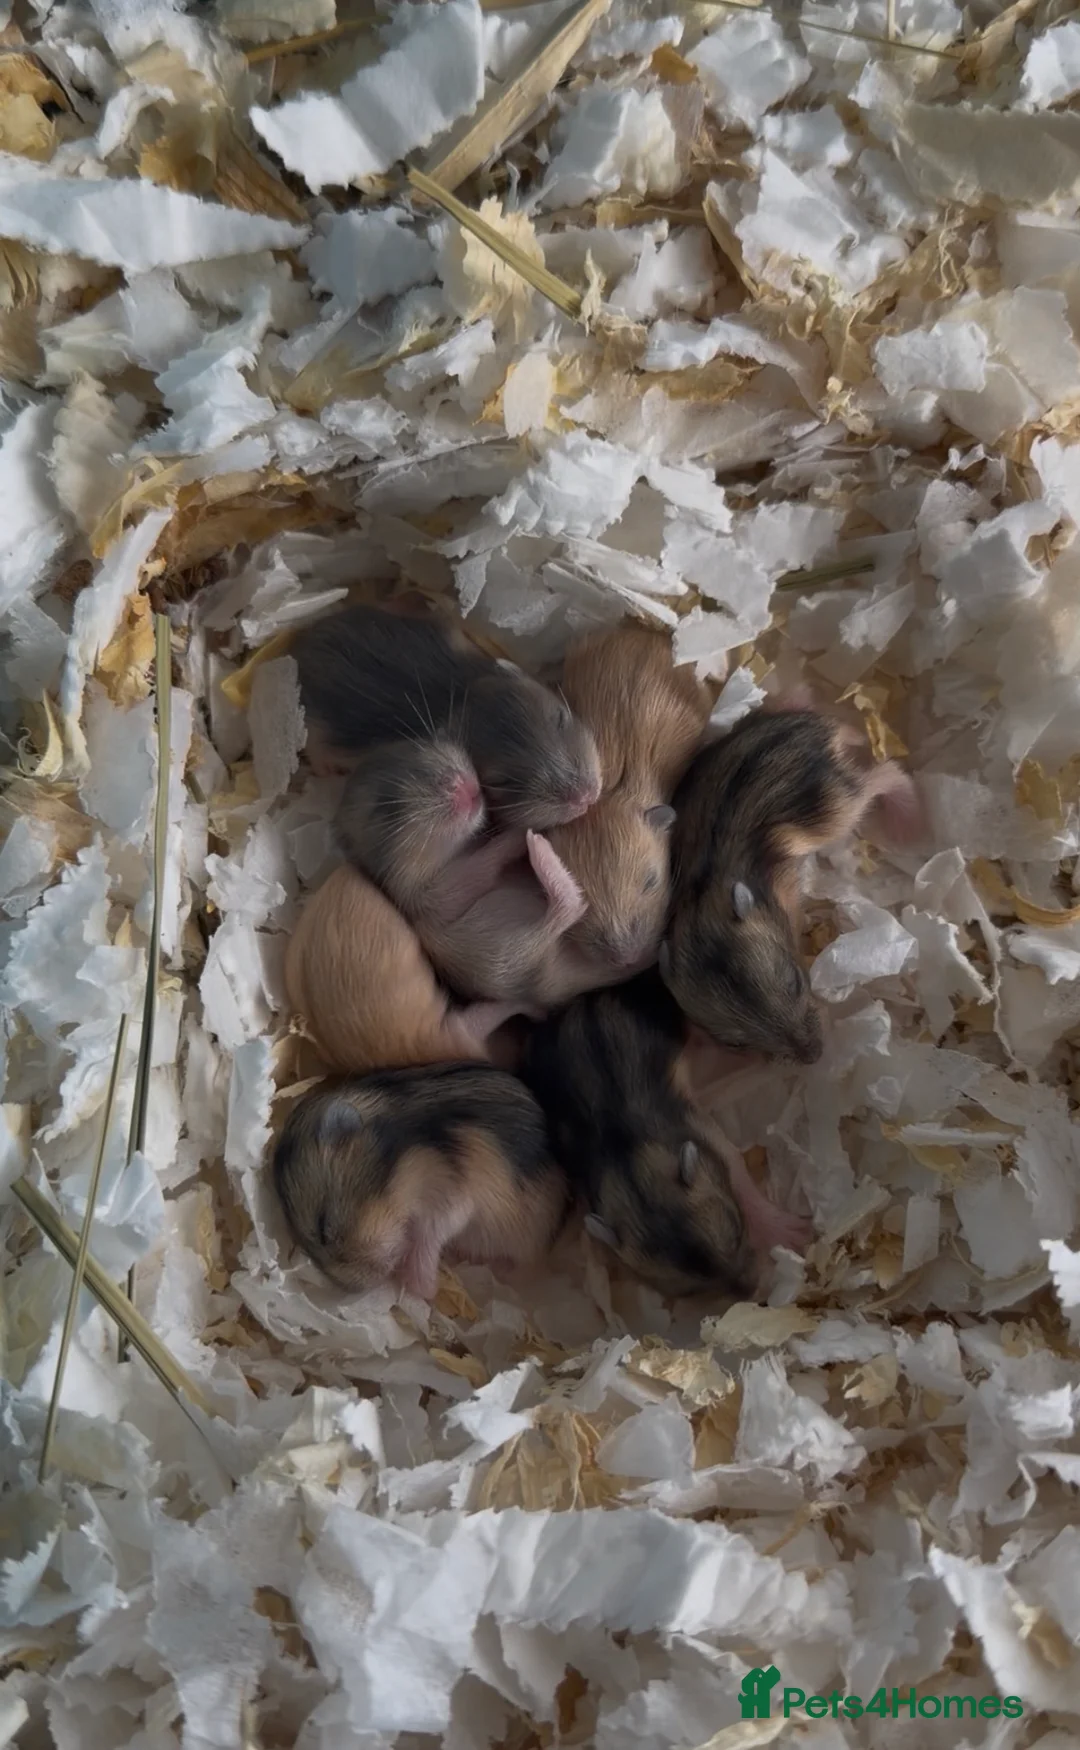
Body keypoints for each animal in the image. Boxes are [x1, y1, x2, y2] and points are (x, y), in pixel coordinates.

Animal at [523, 972, 764, 1299]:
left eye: (738, 1231)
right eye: (689, 1291)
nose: (755, 1293)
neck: (628, 1153)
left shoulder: (703, 1129)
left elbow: (737, 1167)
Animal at [661, 706, 921, 1064]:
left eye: (796, 982)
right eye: (736, 1043)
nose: (815, 1056)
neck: (702, 898)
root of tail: (819, 728)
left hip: (838, 807)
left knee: (886, 773)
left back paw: (908, 826)